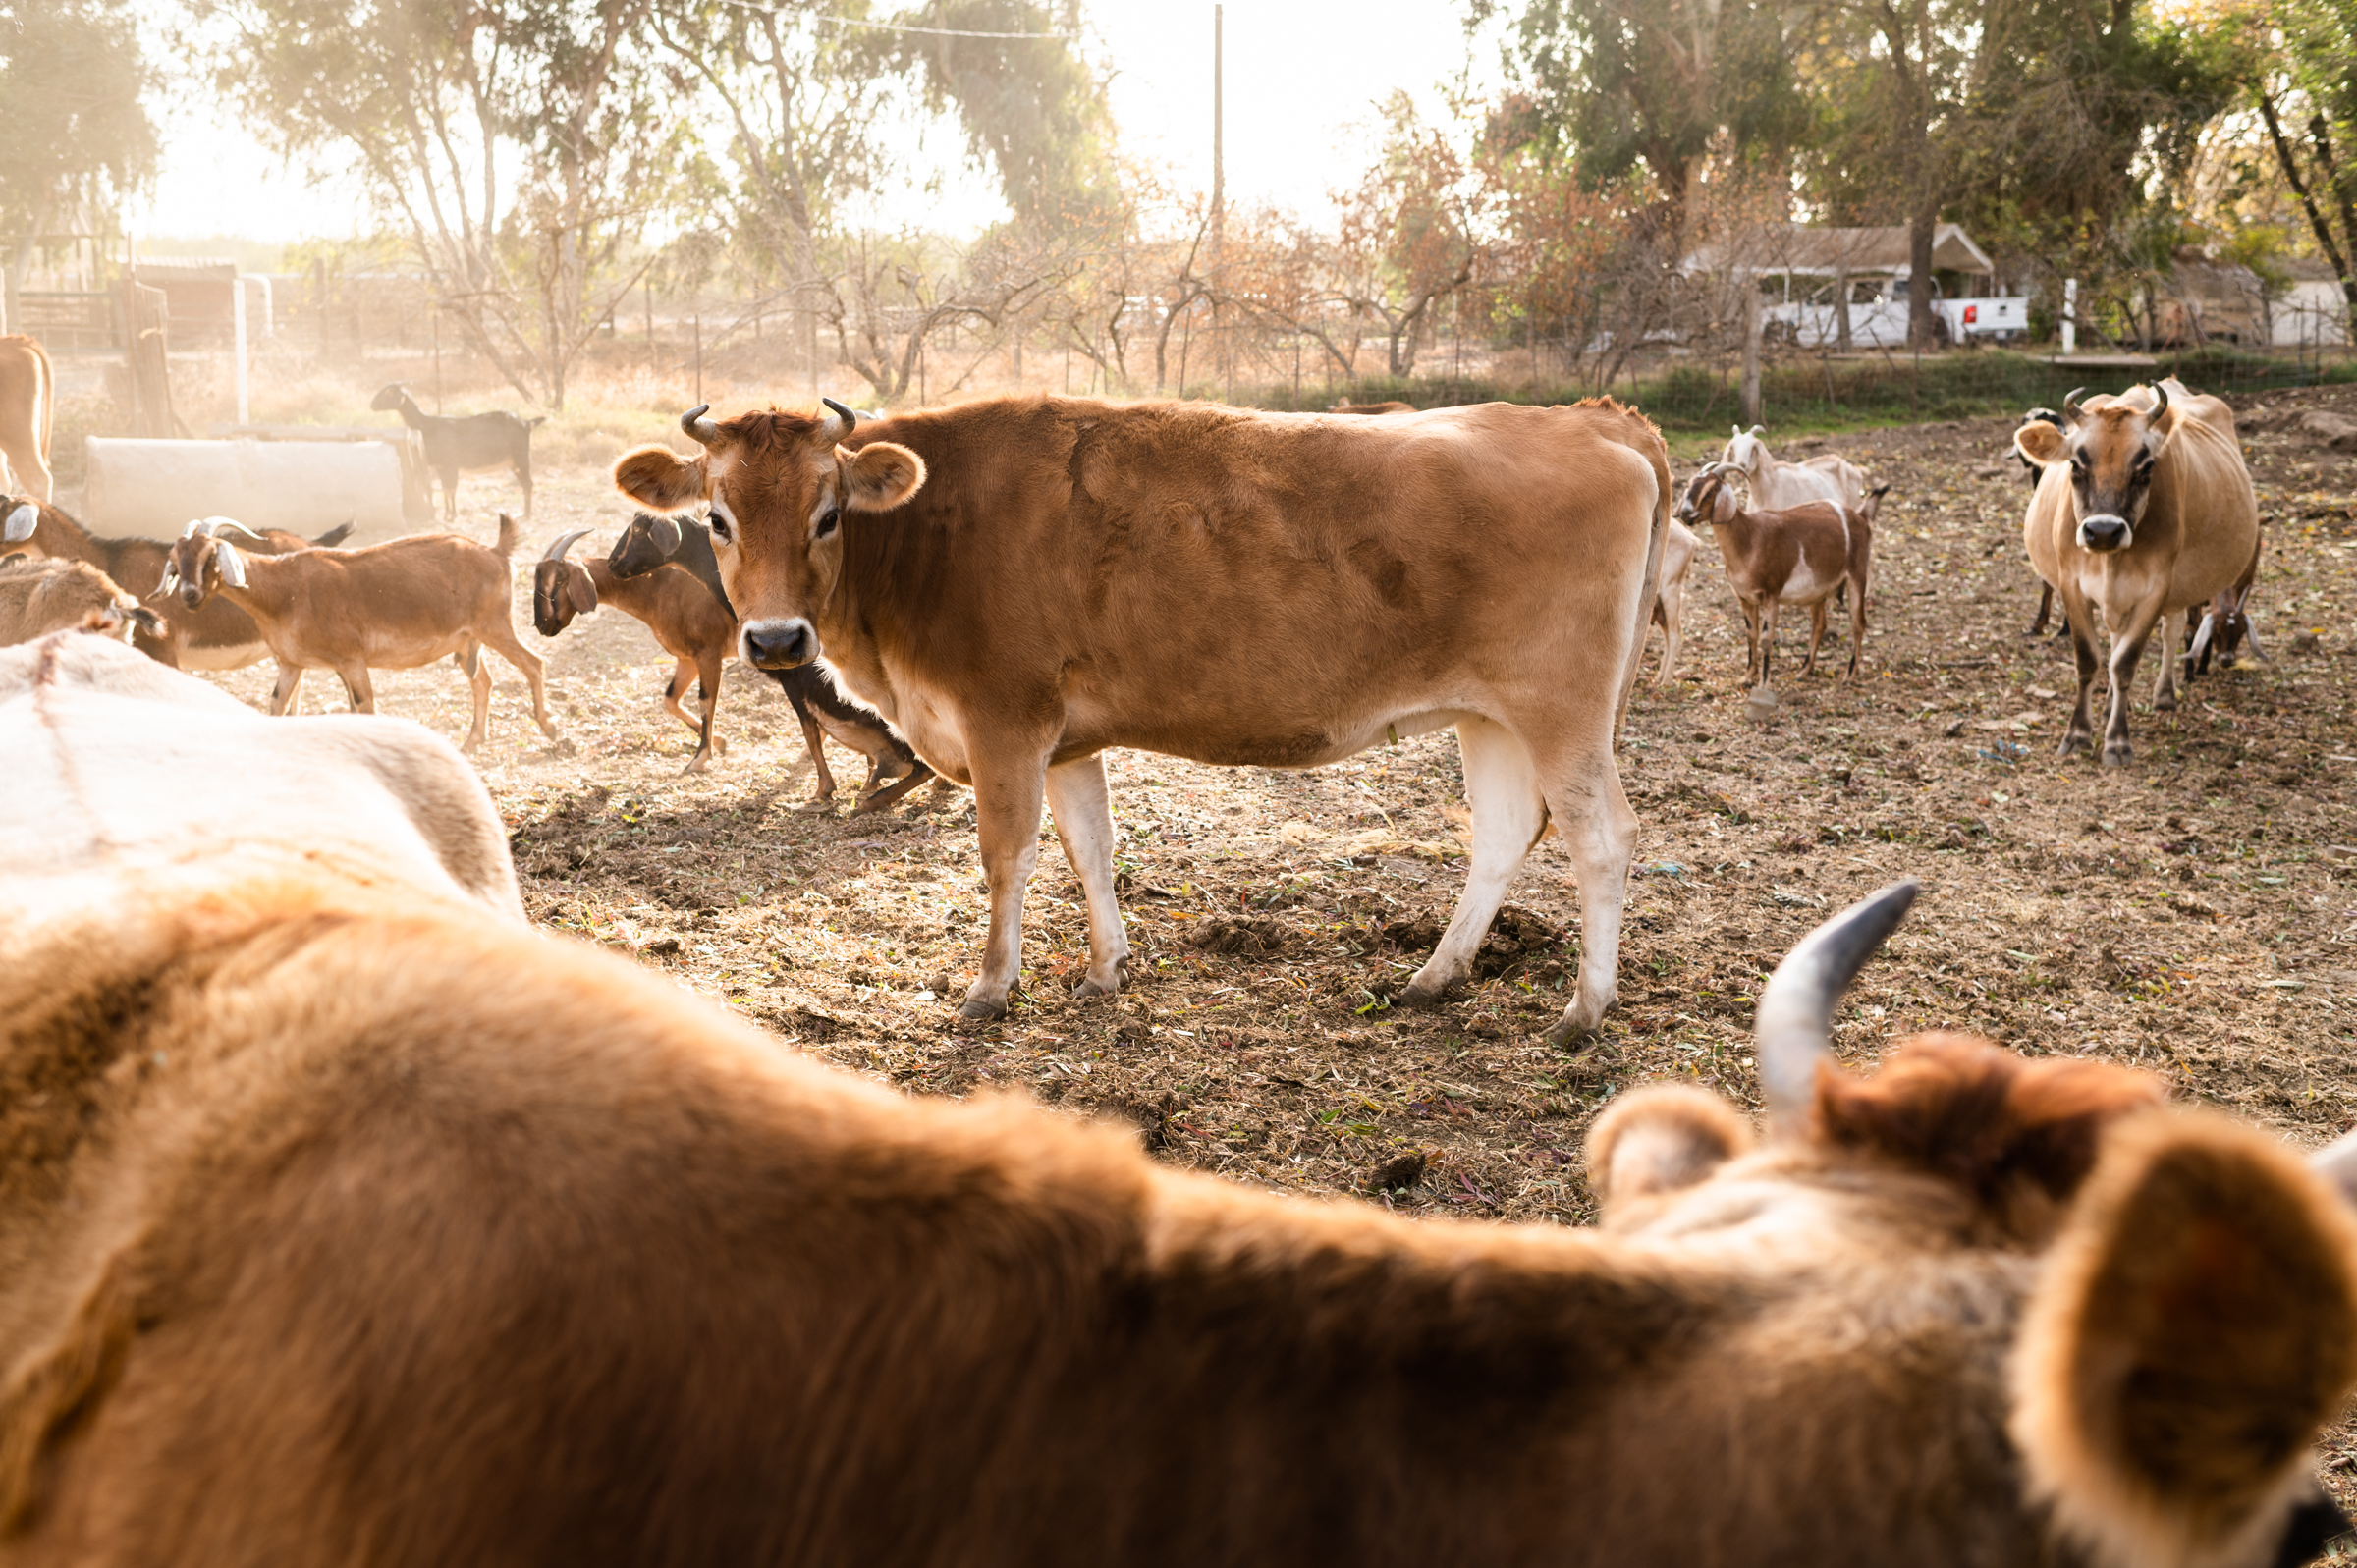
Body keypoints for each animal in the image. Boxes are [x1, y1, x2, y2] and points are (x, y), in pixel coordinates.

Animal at [163, 504, 558, 744]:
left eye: (209, 556)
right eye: (176, 560)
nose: (189, 595)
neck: (283, 593)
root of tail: (496, 552)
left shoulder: (351, 658)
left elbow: (365, 706)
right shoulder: (291, 663)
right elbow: (277, 706)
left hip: (495, 624)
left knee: (534, 663)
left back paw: (551, 728)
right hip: (467, 640)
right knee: (483, 680)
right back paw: (472, 742)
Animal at [532, 525, 726, 768]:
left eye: (558, 582)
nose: (542, 625)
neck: (662, 585)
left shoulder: (710, 653)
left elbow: (706, 702)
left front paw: (699, 759)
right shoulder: (688, 659)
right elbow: (670, 699)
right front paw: (720, 741)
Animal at [613, 394, 1677, 1037]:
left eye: (828, 513)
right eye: (717, 518)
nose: (776, 640)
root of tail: (1595, 422)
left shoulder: (1005, 720)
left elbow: (1007, 852)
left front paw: (989, 986)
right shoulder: (1065, 738)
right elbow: (1089, 844)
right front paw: (1104, 967)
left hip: (1562, 713)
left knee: (1603, 837)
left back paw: (1585, 1008)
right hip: (1489, 715)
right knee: (1503, 831)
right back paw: (1433, 975)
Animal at [2017, 382, 2253, 768]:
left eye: (2146, 467)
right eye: (2076, 464)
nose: (2102, 531)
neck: (2111, 560)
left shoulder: (2156, 589)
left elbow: (2126, 662)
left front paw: (2116, 742)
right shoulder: (2071, 584)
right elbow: (2088, 659)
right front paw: (2078, 734)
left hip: (2179, 589)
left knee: (2171, 633)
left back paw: (2164, 696)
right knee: (2116, 639)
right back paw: (2109, 703)